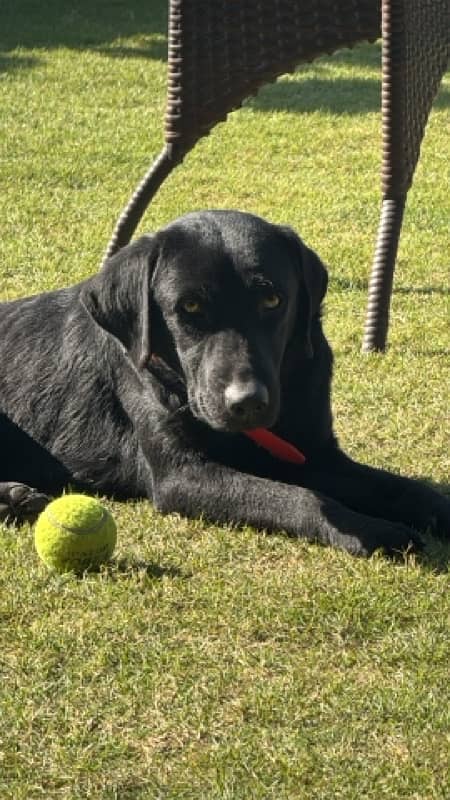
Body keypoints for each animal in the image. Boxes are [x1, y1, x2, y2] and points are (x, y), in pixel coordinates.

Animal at [0, 212, 450, 556]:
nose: (247, 403)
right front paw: (374, 530)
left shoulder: (319, 455)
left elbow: (404, 488)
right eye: (190, 306)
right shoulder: (182, 476)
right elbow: (300, 497)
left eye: (272, 300)